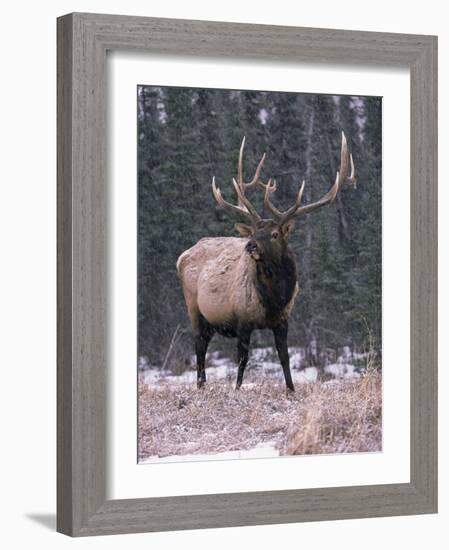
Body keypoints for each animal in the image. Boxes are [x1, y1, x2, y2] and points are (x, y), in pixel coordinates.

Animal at [175, 133, 354, 392]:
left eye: (275, 234)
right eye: (253, 231)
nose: (250, 245)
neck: (274, 299)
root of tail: (182, 256)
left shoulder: (283, 320)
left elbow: (284, 356)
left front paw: (291, 390)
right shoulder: (242, 319)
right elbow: (242, 359)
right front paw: (237, 389)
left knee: (203, 345)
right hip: (194, 309)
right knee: (199, 347)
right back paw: (200, 386)